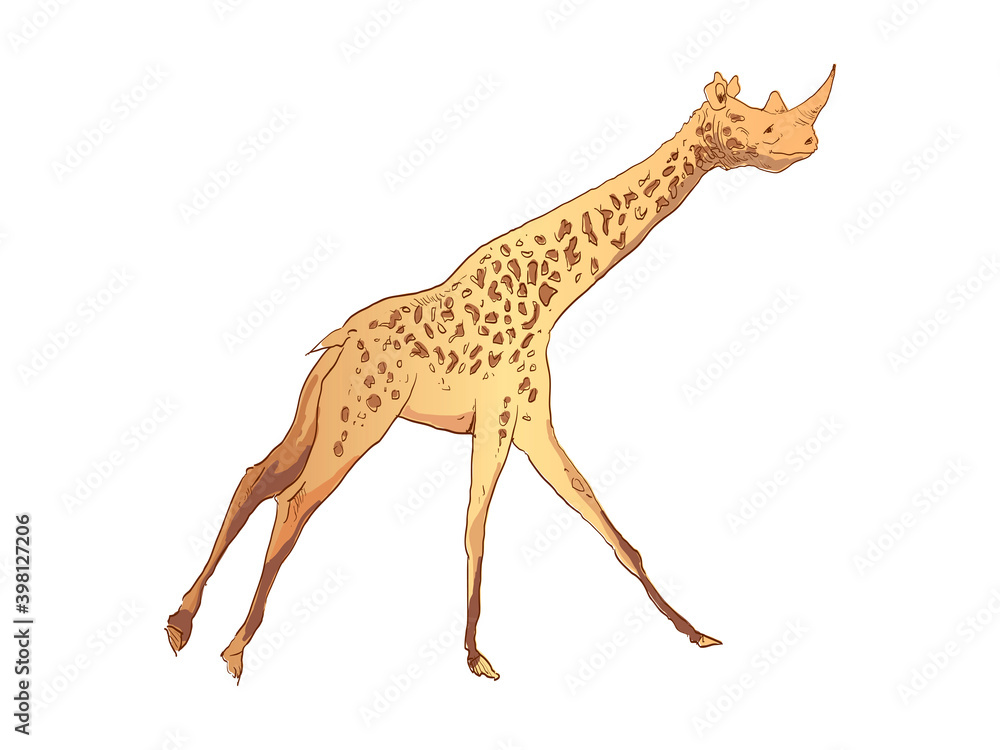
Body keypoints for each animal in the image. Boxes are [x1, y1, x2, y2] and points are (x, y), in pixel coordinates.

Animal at [166, 67, 835, 682]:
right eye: (755, 120)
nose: (809, 143)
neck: (552, 296)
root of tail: (337, 344)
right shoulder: (498, 416)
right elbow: (476, 525)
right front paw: (474, 654)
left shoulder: (533, 420)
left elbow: (606, 524)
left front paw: (694, 631)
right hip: (362, 420)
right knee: (294, 502)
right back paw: (235, 648)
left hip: (320, 409)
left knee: (257, 478)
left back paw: (181, 623)